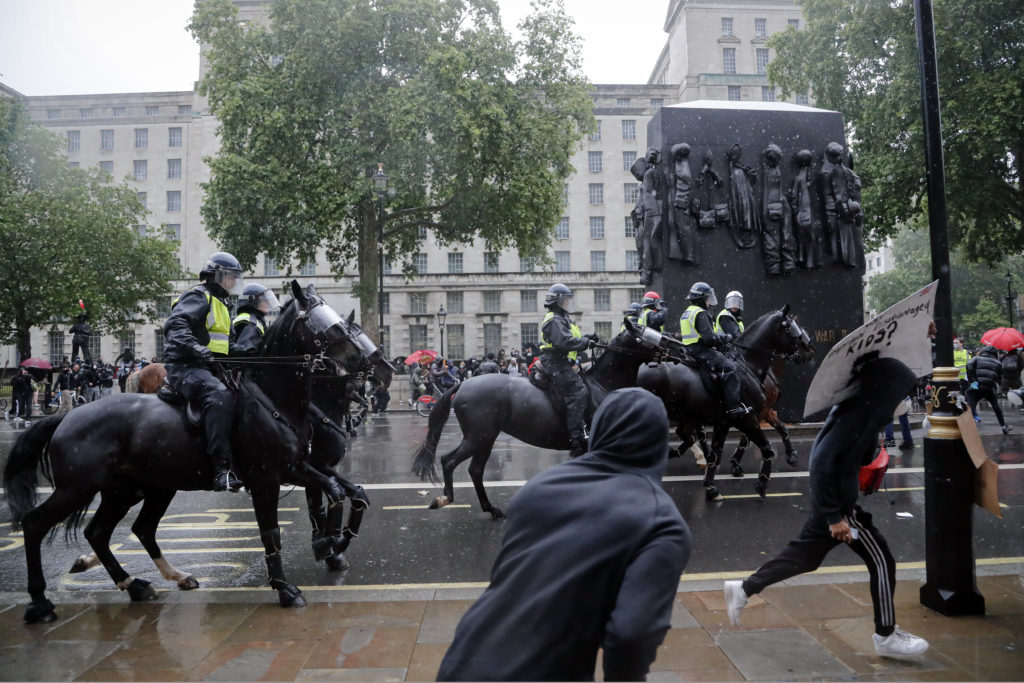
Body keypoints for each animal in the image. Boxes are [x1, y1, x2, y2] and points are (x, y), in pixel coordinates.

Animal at [4, 280, 372, 622]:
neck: (273, 399)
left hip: (133, 489)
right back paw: (40, 602)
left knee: (112, 531)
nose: (366, 362)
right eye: (322, 321)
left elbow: (344, 492)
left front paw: (330, 544)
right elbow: (274, 531)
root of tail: (67, 416)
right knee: (37, 524)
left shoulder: (299, 466)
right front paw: (289, 584)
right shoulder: (267, 478)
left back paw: (140, 584)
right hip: (78, 487)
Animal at [411, 325, 684, 518]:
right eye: (652, 335)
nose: (683, 349)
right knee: (449, 461)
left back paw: (491, 509)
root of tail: (464, 384)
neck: (602, 384)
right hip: (478, 436)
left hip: (485, 438)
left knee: (475, 470)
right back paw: (444, 499)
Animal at [634, 307, 811, 499]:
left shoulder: (725, 422)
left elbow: (716, 453)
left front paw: (711, 487)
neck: (747, 363)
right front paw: (760, 482)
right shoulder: (748, 417)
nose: (809, 350)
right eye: (792, 328)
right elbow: (765, 447)